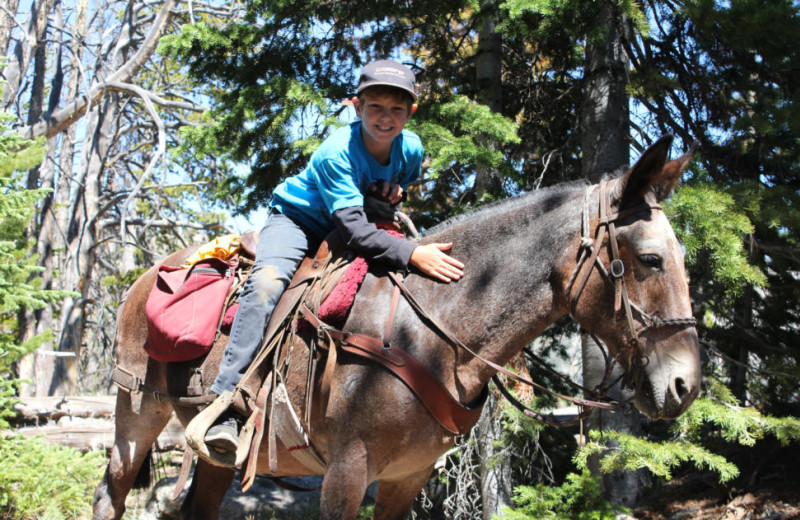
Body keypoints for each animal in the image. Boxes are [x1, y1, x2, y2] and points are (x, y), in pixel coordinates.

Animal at [90, 136, 700, 516]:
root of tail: (145, 276)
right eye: (649, 259)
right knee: (109, 495)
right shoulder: (345, 472)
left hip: (218, 456)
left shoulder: (408, 478)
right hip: (135, 414)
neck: (431, 330)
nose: (685, 385)